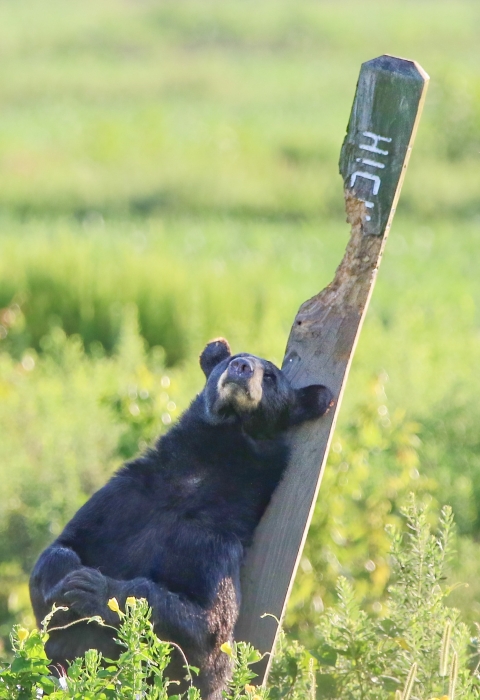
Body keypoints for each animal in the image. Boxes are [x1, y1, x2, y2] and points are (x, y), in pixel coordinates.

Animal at [29, 338, 333, 699]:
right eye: (231, 359)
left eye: (271, 376)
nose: (242, 367)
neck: (194, 481)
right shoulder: (123, 496)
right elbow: (61, 546)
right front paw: (65, 581)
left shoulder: (217, 543)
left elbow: (210, 625)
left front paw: (96, 589)